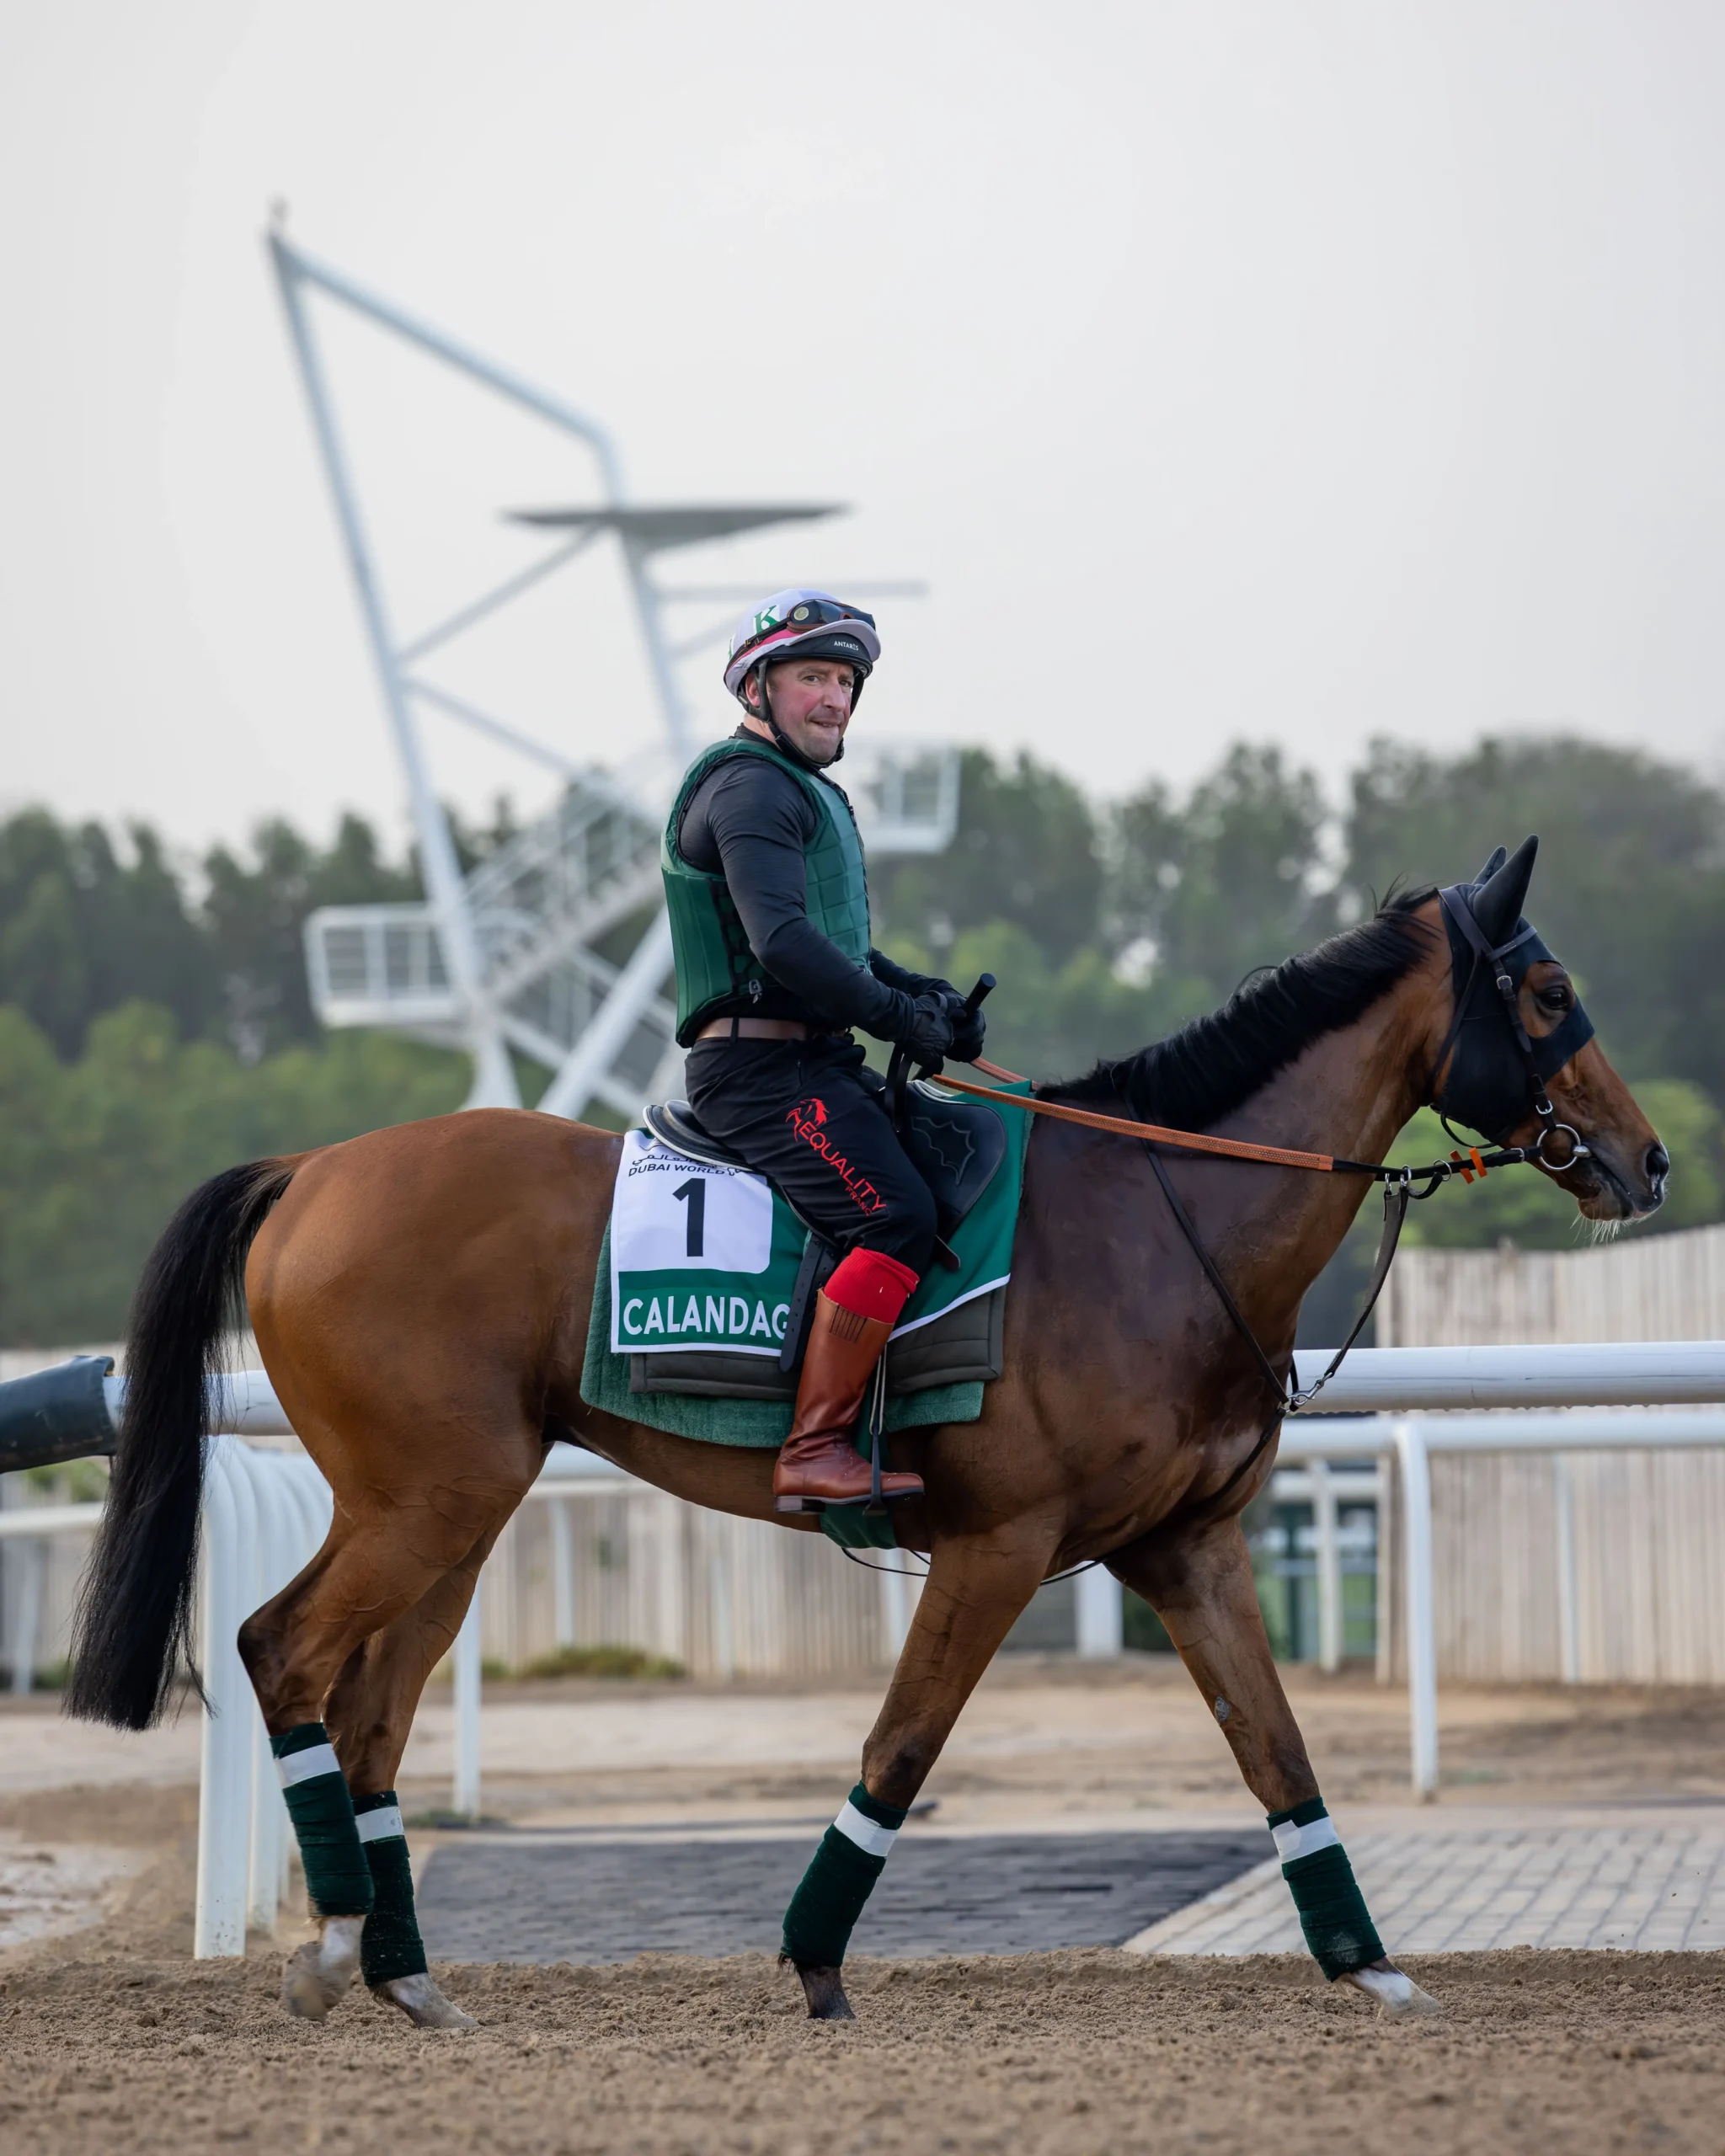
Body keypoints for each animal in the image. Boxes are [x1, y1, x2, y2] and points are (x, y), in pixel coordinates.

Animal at [66, 839, 1665, 2027]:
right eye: (1545, 990)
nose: (1645, 1161)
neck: (1160, 1219)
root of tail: (311, 1170)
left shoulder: (1192, 1552)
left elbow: (1279, 1757)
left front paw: (1371, 1964)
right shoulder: (999, 1547)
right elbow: (901, 1746)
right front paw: (815, 1962)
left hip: (459, 1513)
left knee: (372, 1710)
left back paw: (403, 1973)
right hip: (423, 1502)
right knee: (282, 1651)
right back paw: (339, 1948)